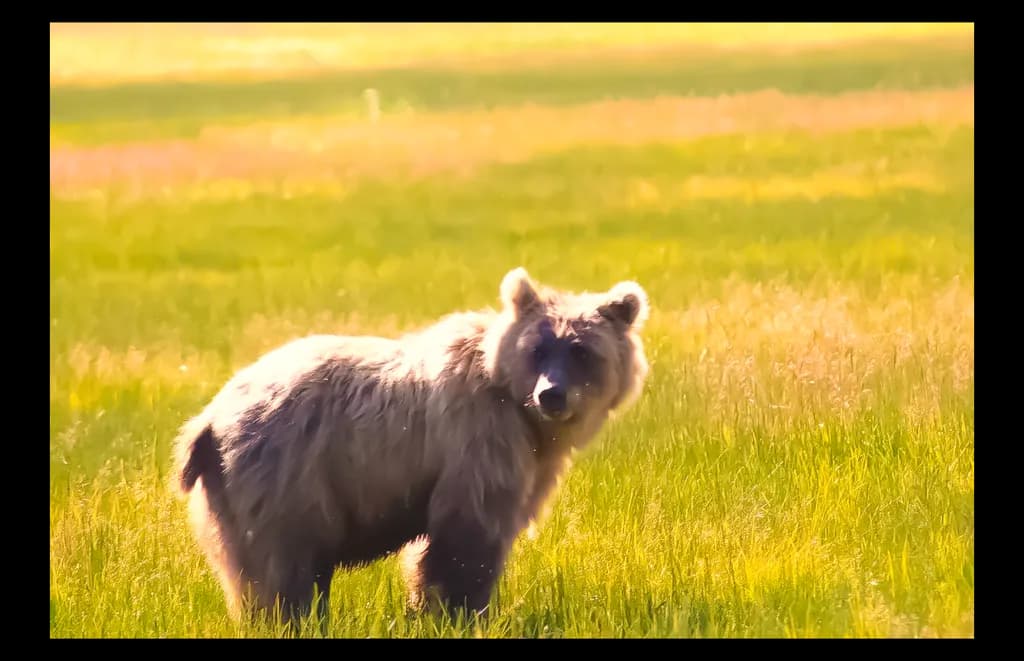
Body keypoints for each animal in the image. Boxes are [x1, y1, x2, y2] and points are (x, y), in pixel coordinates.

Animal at [172, 267, 650, 630]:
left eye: (581, 350)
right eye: (538, 348)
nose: (552, 395)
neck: (524, 417)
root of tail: (207, 418)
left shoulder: (529, 460)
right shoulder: (477, 441)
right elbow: (466, 537)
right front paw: (462, 612)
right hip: (284, 471)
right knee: (283, 564)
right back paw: (293, 619)